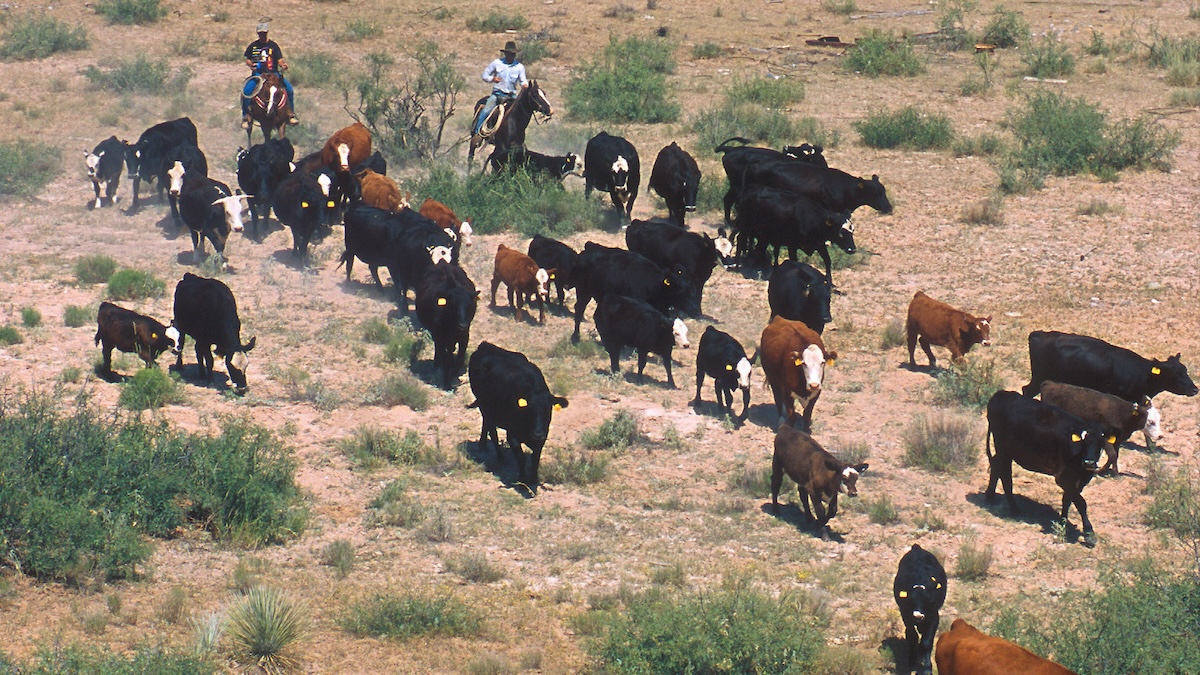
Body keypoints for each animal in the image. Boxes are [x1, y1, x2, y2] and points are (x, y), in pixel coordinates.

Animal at [468, 341, 569, 495]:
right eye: (529, 410)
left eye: (548, 409)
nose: (537, 433)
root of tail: (486, 345)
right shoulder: (513, 435)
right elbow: (521, 458)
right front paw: (522, 481)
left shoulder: (542, 438)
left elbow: (535, 458)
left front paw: (534, 479)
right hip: (484, 405)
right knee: (493, 432)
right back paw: (500, 456)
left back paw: (483, 444)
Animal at [570, 242, 698, 342]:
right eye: (680, 290)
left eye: (692, 289)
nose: (695, 311)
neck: (655, 285)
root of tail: (590, 247)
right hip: (583, 290)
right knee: (579, 309)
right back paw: (576, 337)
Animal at [894, 544, 947, 675]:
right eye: (911, 601)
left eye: (928, 602)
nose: (918, 616)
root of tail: (916, 548)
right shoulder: (906, 615)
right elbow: (913, 636)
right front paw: (913, 660)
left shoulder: (934, 617)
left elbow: (926, 643)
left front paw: (927, 668)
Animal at [986, 390, 1108, 543]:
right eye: (1084, 441)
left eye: (1101, 443)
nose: (1089, 463)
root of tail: (1001, 393)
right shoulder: (1062, 478)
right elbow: (1081, 502)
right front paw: (1089, 533)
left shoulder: (1080, 480)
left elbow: (1068, 499)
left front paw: (1062, 523)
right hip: (1003, 449)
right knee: (1005, 475)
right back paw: (1014, 509)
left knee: (996, 467)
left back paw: (990, 497)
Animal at [1022, 330, 1199, 403]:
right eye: (1175, 374)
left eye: (1185, 371)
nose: (1195, 389)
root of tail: (1040, 333)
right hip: (1039, 377)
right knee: (1027, 391)